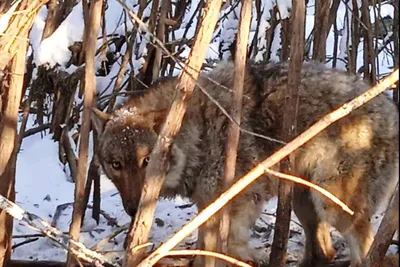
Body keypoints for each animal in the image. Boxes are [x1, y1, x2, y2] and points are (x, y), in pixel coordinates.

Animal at [92, 61, 398, 267]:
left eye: (146, 161)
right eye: (116, 165)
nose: (133, 209)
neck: (199, 136)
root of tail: (391, 111)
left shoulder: (234, 204)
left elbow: (222, 248)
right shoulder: (208, 207)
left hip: (333, 207)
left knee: (366, 251)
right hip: (305, 203)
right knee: (325, 253)